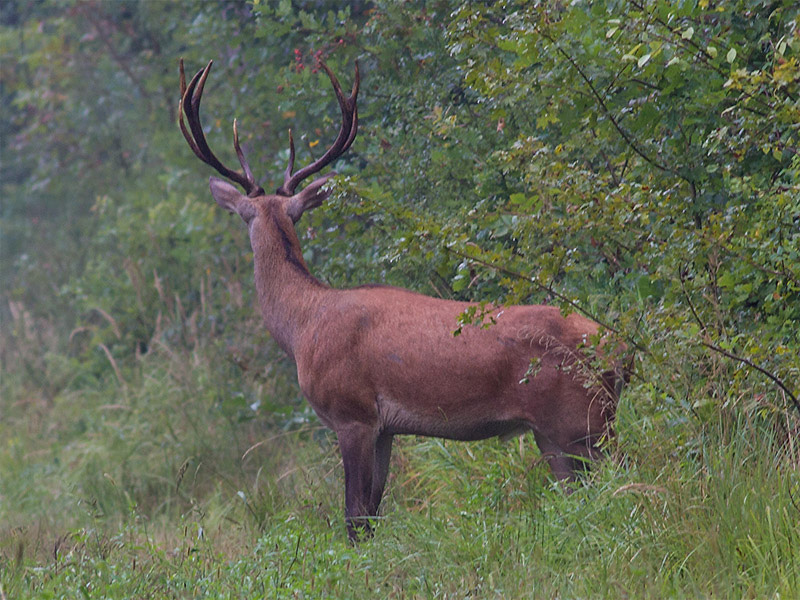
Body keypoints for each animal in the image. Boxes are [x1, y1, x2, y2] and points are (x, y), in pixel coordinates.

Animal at [180, 58, 624, 540]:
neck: (302, 326)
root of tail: (620, 350)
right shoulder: (385, 429)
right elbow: (373, 513)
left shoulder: (351, 413)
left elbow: (354, 515)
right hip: (563, 430)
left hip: (578, 419)